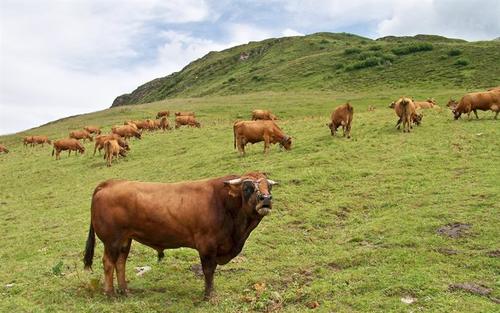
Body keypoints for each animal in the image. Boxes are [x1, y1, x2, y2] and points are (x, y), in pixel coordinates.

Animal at [83, 173, 278, 298]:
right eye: (248, 187)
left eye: (268, 186)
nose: (266, 199)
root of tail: (111, 183)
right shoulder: (207, 246)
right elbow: (208, 271)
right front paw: (208, 295)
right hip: (112, 240)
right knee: (108, 263)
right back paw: (110, 293)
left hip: (125, 240)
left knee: (120, 263)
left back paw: (125, 291)